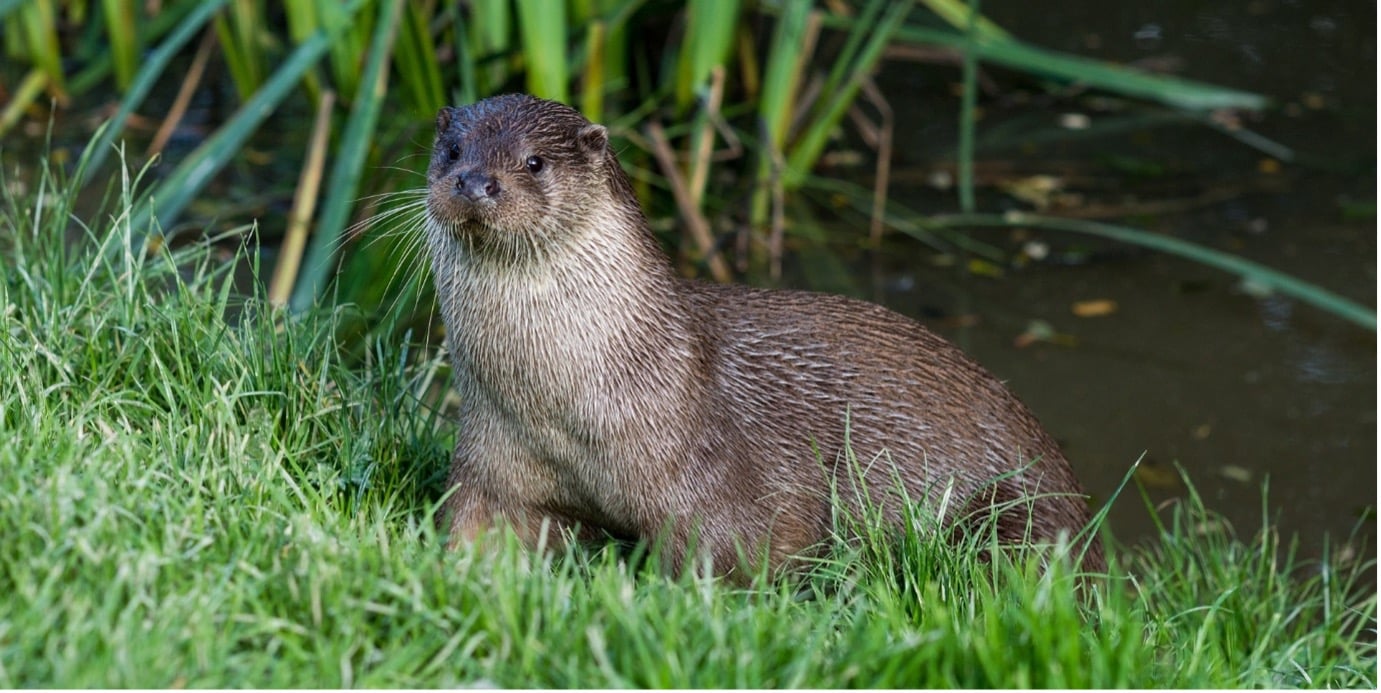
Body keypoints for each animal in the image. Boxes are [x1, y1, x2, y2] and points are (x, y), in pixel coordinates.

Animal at [422, 93, 1104, 577]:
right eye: (453, 151)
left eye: (534, 162)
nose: (475, 182)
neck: (564, 407)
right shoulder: (494, 463)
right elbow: (479, 533)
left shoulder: (712, 478)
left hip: (1015, 517)